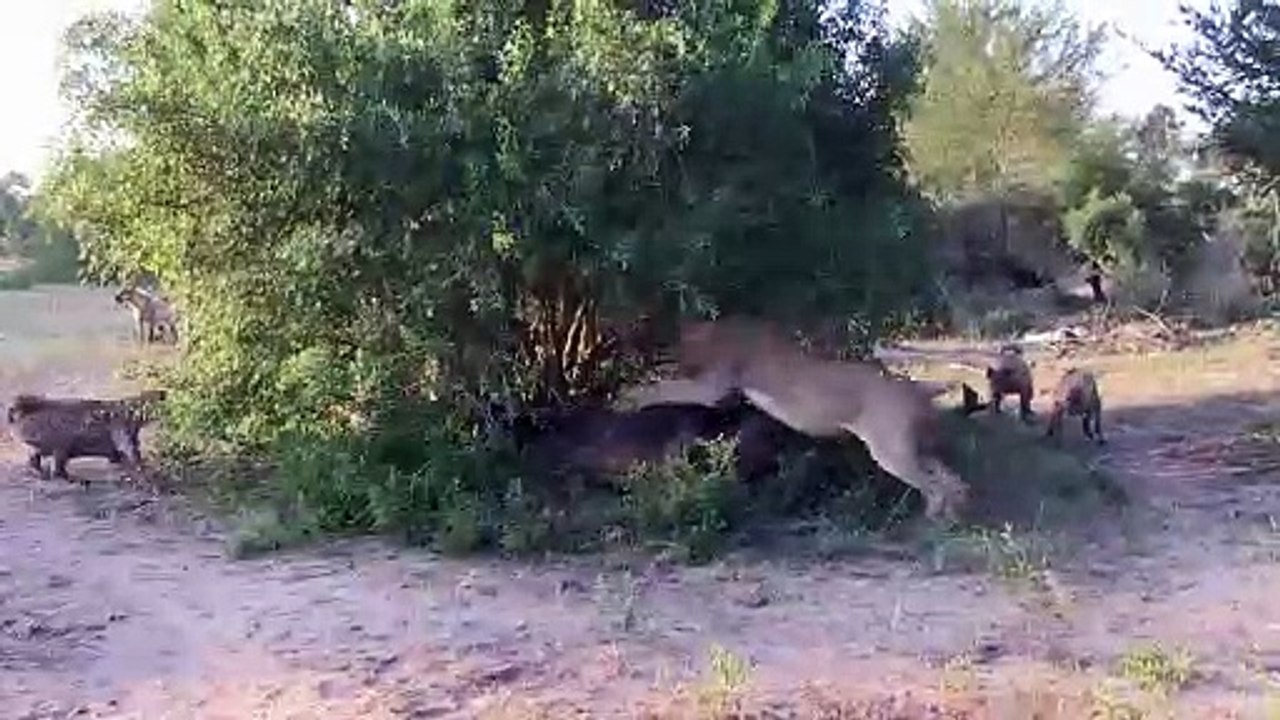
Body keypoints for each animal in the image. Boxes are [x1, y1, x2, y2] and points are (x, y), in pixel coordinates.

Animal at [619, 317, 971, 522]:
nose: (663, 352)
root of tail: (915, 388)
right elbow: (666, 385)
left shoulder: (712, 388)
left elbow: (663, 388)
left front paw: (629, 397)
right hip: (913, 449)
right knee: (954, 482)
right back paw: (949, 522)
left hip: (891, 452)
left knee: (937, 487)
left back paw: (930, 526)